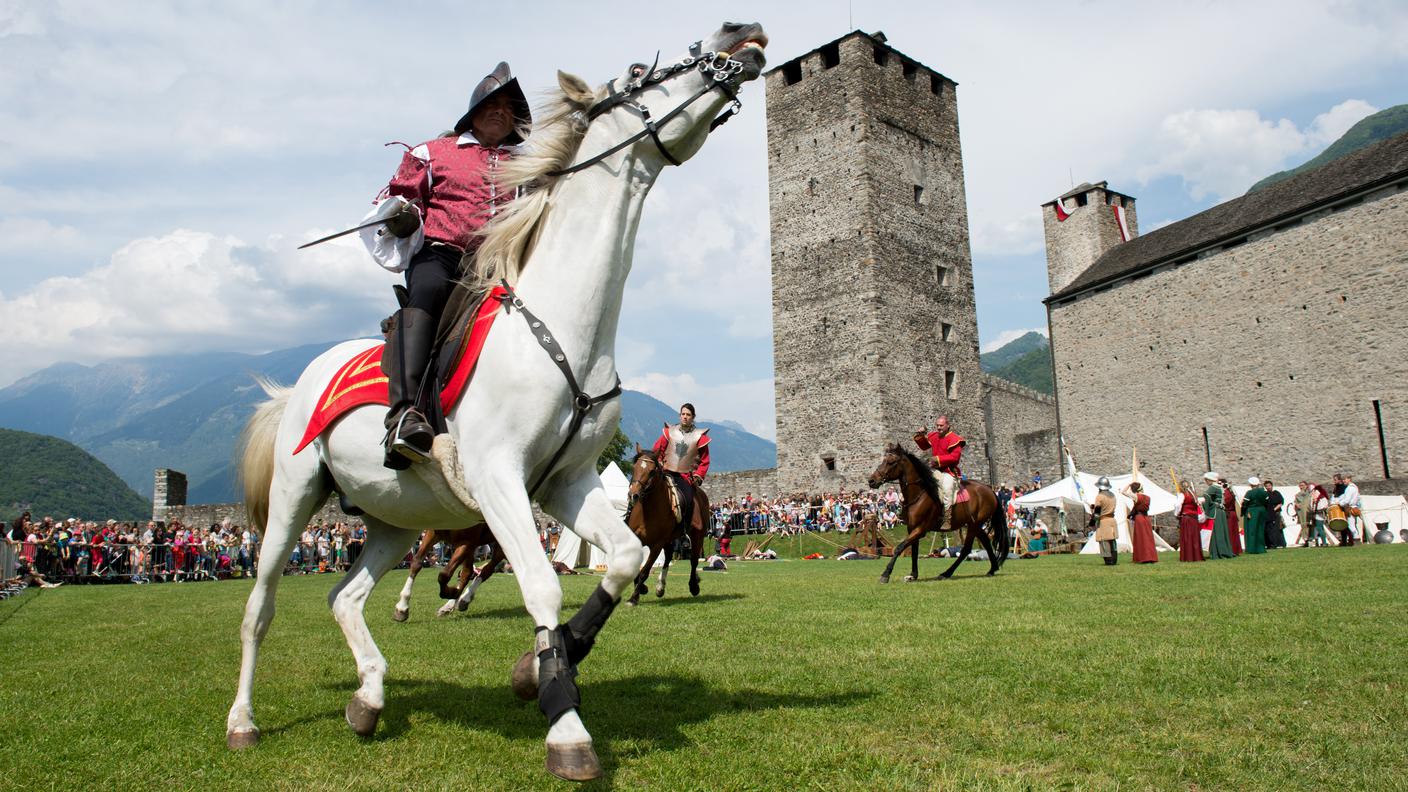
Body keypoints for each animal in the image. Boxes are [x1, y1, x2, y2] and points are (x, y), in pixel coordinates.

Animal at [625, 445, 709, 603]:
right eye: (634, 468)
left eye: (652, 471)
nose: (633, 495)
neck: (648, 510)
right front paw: (642, 588)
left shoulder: (656, 545)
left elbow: (645, 571)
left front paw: (634, 597)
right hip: (670, 539)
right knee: (669, 556)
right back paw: (660, 587)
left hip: (697, 536)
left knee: (693, 560)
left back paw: (693, 586)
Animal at [861, 445, 1008, 580]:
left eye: (891, 462)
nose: (872, 480)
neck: (919, 494)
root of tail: (990, 490)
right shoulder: (912, 528)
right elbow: (914, 551)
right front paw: (913, 575)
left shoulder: (920, 529)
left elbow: (899, 547)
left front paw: (886, 574)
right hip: (974, 524)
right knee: (985, 542)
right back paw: (992, 569)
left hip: (974, 525)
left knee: (966, 549)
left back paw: (947, 573)